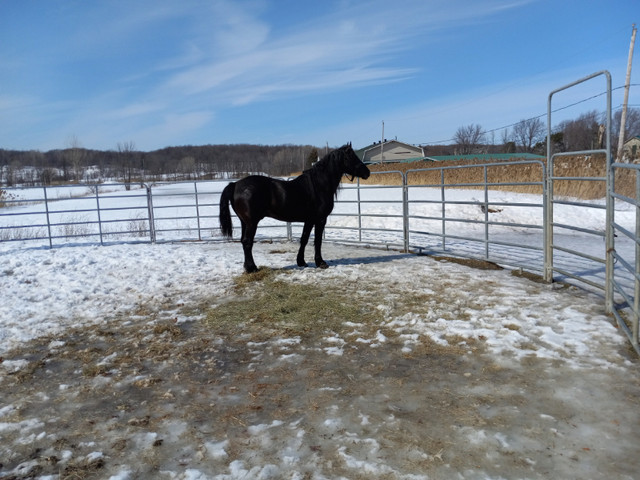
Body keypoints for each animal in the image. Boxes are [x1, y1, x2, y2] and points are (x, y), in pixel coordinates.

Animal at [220, 142, 370, 272]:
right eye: (351, 156)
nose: (367, 172)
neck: (319, 185)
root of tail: (235, 185)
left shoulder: (309, 220)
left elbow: (304, 239)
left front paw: (301, 262)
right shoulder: (320, 220)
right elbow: (317, 241)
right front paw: (320, 262)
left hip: (244, 222)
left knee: (243, 241)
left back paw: (247, 267)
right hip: (252, 223)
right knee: (247, 242)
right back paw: (252, 268)